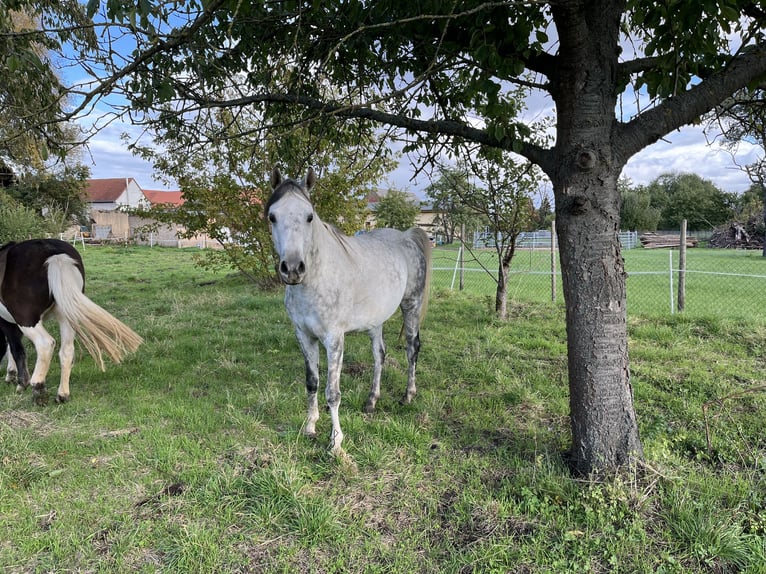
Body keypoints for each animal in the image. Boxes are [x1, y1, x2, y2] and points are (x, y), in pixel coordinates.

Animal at [0, 238, 144, 404]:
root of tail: (56, 256)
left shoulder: (7, 322)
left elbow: (16, 349)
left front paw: (19, 382)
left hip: (27, 320)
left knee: (45, 344)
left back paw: (38, 389)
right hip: (67, 317)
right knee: (67, 351)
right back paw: (62, 394)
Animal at [266, 169, 432, 456]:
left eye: (309, 216)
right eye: (272, 216)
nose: (293, 269)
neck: (315, 280)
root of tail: (407, 236)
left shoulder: (334, 339)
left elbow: (333, 392)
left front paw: (335, 442)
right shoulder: (304, 336)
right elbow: (312, 382)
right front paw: (310, 426)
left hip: (411, 306)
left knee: (412, 348)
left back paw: (408, 395)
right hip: (375, 321)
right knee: (379, 355)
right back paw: (371, 401)